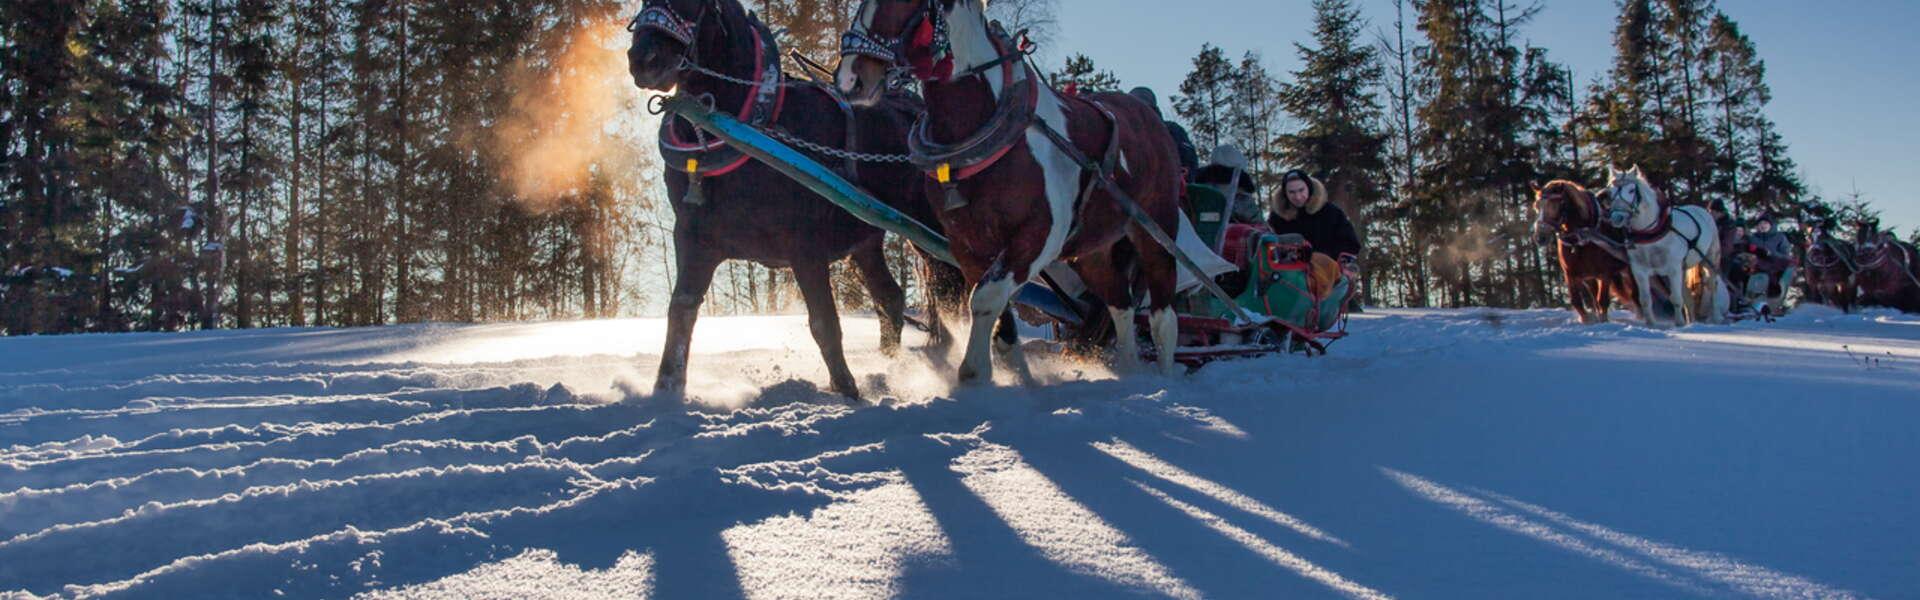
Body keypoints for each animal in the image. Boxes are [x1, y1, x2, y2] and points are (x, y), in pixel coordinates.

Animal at [625, 0, 960, 398]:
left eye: (696, 3)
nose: (644, 58)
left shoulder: (805, 245)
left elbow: (824, 322)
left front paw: (847, 390)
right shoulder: (694, 239)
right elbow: (681, 311)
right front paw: (666, 388)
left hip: (932, 229)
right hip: (865, 242)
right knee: (890, 298)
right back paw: (890, 367)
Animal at [837, 0, 1182, 382]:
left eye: (901, 3)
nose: (849, 79)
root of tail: (1147, 114)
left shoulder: (1038, 236)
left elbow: (986, 298)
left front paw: (973, 374)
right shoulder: (967, 243)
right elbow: (996, 312)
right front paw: (1016, 376)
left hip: (1156, 229)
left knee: (1163, 316)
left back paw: (1166, 378)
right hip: (1091, 251)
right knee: (1120, 302)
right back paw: (1131, 371)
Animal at [1528, 178, 1635, 323]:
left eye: (1555, 205)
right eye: (1536, 206)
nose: (1540, 237)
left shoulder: (1605, 274)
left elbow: (1602, 301)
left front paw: (1603, 321)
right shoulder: (1571, 274)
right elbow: (1577, 302)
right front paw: (1587, 320)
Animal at [1605, 166, 1728, 325]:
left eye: (1631, 190)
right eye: (1611, 192)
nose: (1617, 218)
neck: (1651, 233)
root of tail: (1701, 210)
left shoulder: (1673, 268)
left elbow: (1675, 298)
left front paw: (1679, 323)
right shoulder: (1639, 270)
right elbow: (1645, 300)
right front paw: (1651, 324)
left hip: (1709, 259)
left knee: (1711, 286)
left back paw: (1716, 317)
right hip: (1683, 267)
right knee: (1687, 294)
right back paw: (1692, 320)